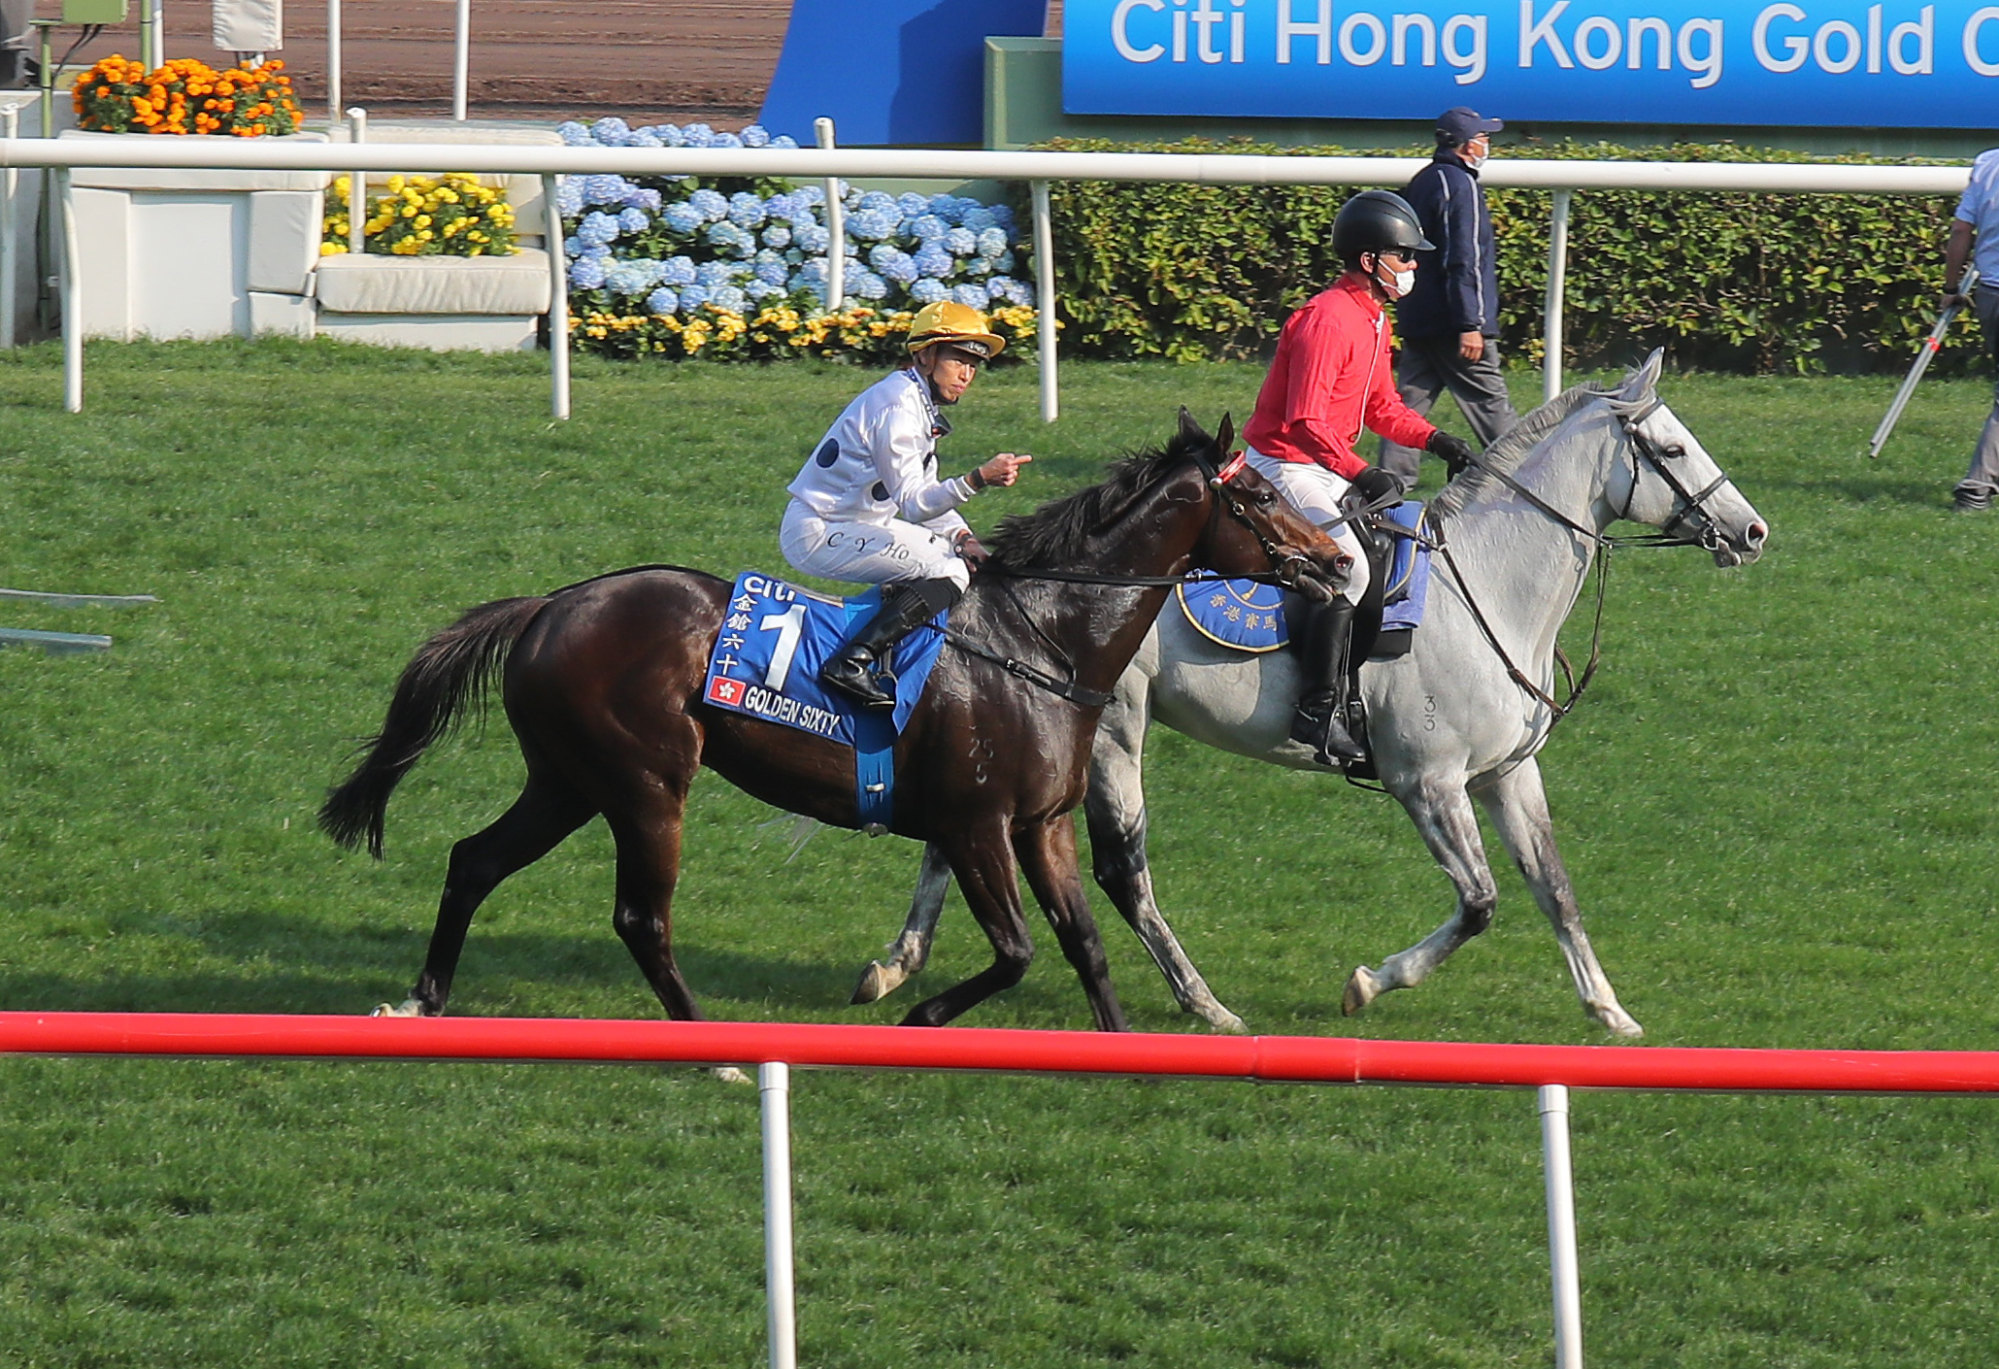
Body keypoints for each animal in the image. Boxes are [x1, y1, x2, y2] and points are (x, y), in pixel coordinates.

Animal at [851, 351, 1775, 1039]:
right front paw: (1370, 980)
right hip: (1113, 733)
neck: (1488, 588)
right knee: (1121, 868)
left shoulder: (1506, 774)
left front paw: (1608, 1009)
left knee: (956, 836)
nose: (1752, 531)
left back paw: (895, 960)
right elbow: (1478, 902)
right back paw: (1203, 1001)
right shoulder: (1426, 783)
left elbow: (1554, 888)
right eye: (1673, 449)